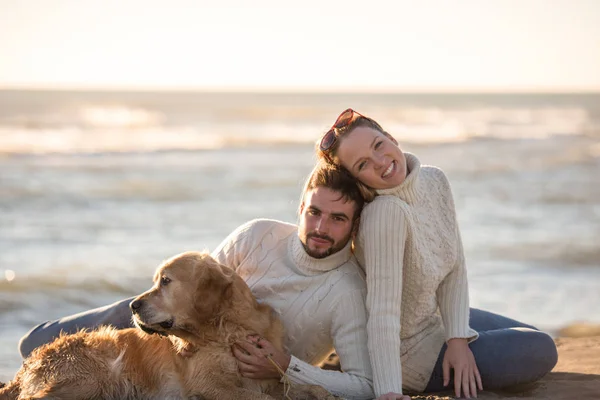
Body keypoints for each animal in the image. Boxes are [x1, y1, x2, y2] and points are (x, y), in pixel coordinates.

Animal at [1, 252, 338, 398]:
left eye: (165, 281)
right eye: (156, 280)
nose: (133, 305)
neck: (229, 329)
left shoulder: (269, 375)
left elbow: (311, 388)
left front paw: (320, 392)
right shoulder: (209, 383)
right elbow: (260, 398)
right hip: (93, 377)